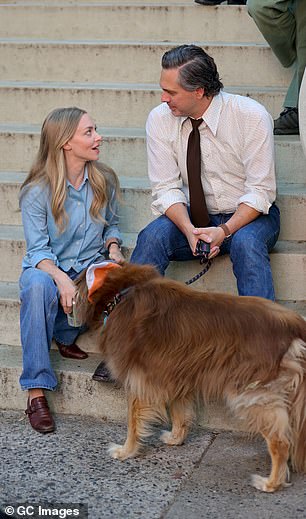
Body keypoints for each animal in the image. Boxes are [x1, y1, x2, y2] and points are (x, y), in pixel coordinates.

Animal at [76, 262, 306, 494]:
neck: (123, 291)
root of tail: (294, 323)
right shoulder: (177, 376)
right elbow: (180, 414)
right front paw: (175, 438)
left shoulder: (138, 382)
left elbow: (133, 423)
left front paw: (126, 451)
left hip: (251, 393)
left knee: (281, 442)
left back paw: (270, 483)